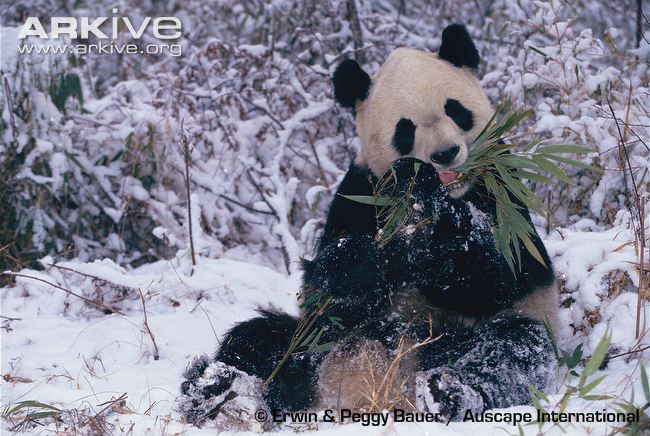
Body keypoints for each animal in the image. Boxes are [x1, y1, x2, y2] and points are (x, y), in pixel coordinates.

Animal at [178, 24, 558, 428]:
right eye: (405, 129)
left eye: (455, 110)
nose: (444, 155)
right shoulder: (359, 191)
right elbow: (328, 286)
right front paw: (361, 261)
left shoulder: (502, 187)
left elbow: (504, 272)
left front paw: (437, 213)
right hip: (314, 345)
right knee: (259, 342)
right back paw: (211, 388)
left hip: (470, 334)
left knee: (512, 351)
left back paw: (448, 393)